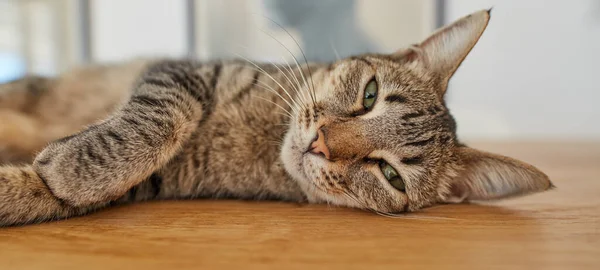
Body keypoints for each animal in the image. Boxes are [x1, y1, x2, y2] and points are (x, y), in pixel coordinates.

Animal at [0, 9, 552, 227]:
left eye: (391, 175)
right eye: (370, 94)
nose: (322, 143)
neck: (265, 139)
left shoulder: (158, 181)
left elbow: (37, 194)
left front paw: (56, 175)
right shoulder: (180, 73)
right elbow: (160, 120)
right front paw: (78, 167)